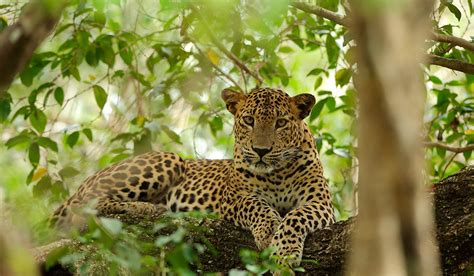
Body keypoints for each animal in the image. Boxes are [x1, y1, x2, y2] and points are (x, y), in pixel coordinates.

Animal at [50, 87, 336, 268]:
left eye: (281, 123)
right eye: (248, 120)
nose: (261, 150)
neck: (276, 174)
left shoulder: (321, 204)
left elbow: (295, 217)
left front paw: (284, 250)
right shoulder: (233, 198)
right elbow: (257, 205)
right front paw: (268, 231)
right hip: (168, 158)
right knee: (84, 205)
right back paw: (143, 208)